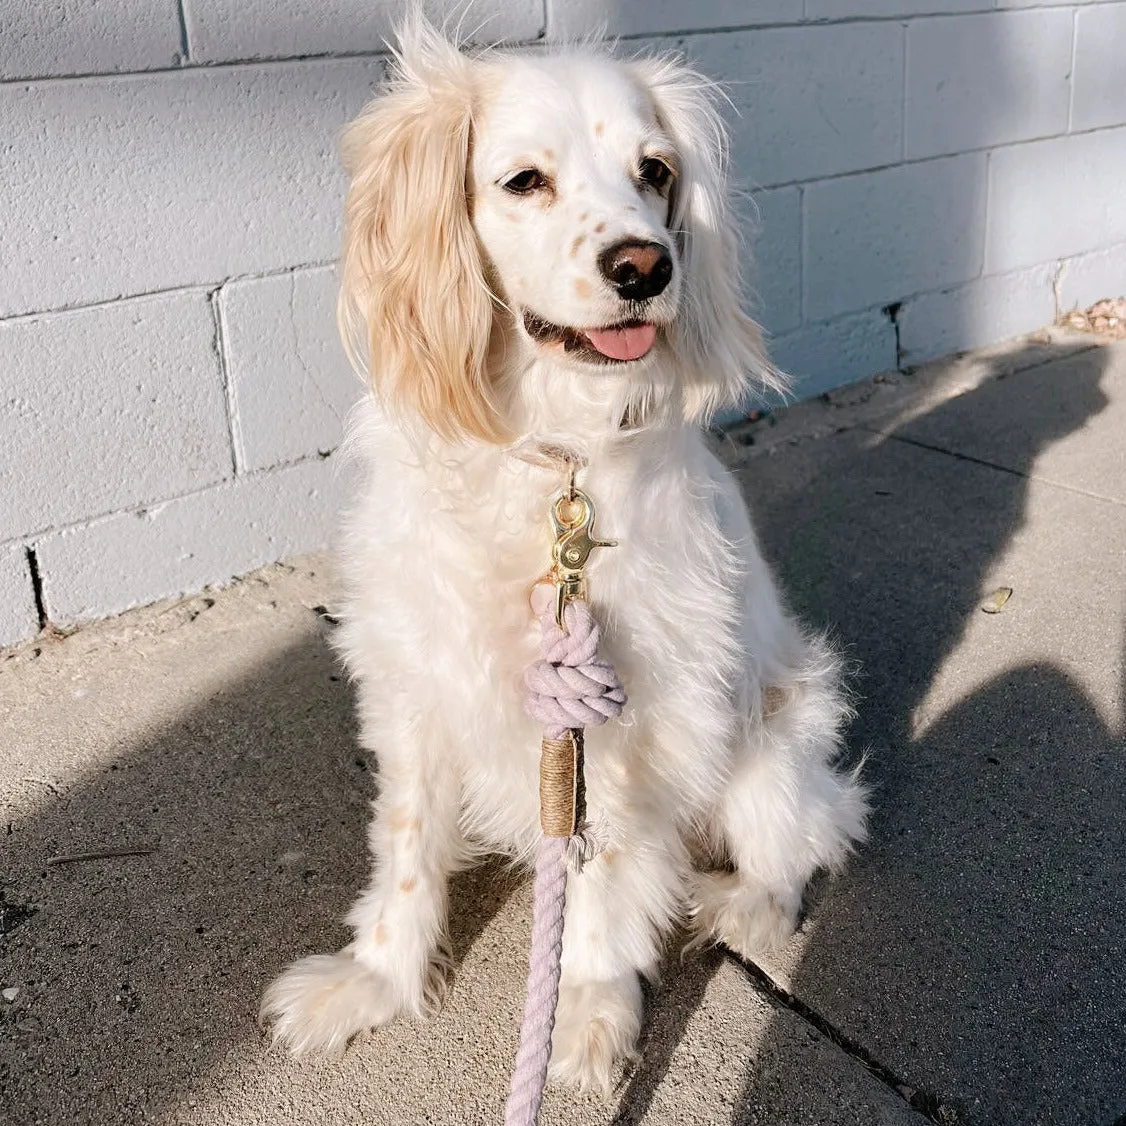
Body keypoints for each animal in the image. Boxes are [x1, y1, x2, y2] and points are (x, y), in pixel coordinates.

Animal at [263, 17, 869, 1089]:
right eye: (523, 181)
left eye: (656, 172)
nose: (645, 267)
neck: (553, 458)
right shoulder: (415, 690)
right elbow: (407, 856)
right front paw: (374, 982)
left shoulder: (634, 719)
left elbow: (608, 876)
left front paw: (584, 1011)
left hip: (770, 754)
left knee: (804, 852)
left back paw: (731, 912)